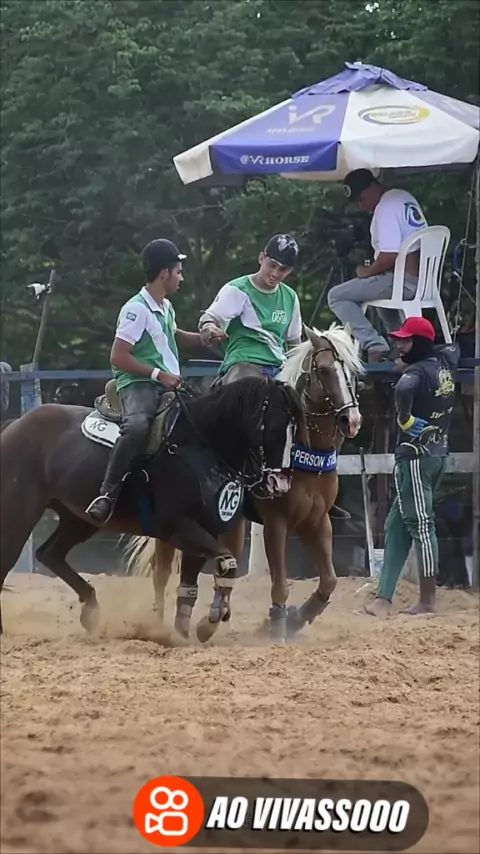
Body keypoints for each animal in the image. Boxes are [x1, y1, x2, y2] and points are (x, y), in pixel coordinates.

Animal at [0, 375, 309, 641]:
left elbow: (195, 582)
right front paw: (206, 624)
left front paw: (188, 630)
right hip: (19, 513)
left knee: (50, 554)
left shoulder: (203, 531)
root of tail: (14, 426)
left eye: (295, 428)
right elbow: (227, 562)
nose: (279, 483)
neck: (198, 445)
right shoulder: (177, 528)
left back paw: (91, 609)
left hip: (78, 519)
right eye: (274, 425)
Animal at [125, 324, 364, 641]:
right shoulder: (276, 521)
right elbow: (280, 584)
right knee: (162, 570)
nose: (352, 420)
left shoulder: (317, 520)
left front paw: (296, 618)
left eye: (354, 371)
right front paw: (277, 626)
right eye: (324, 370)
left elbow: (329, 581)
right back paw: (161, 624)